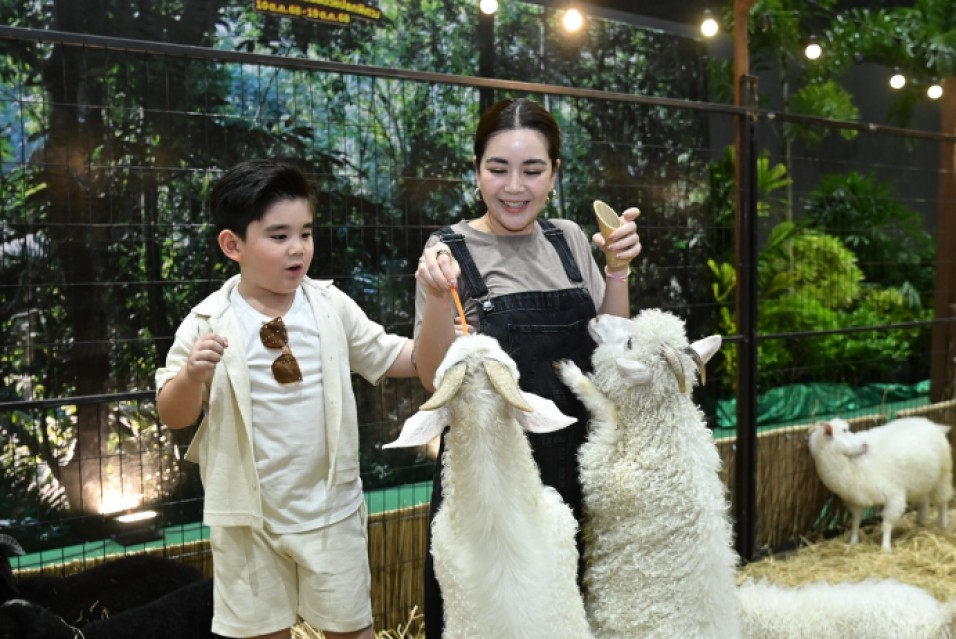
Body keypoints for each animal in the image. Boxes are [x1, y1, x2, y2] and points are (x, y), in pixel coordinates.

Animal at [555, 309, 741, 639]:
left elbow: (608, 413)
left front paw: (574, 376)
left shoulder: (606, 471)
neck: (663, 420)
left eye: (630, 343)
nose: (598, 318)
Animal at [808, 416, 953, 551]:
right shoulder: (856, 499)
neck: (850, 463)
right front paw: (853, 541)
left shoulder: (894, 496)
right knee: (923, 500)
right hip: (919, 481)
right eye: (844, 431)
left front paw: (885, 547)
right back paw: (921, 522)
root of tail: (931, 424)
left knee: (942, 501)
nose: (865, 445)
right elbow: (855, 522)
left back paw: (943, 525)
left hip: (943, 474)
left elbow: (887, 525)